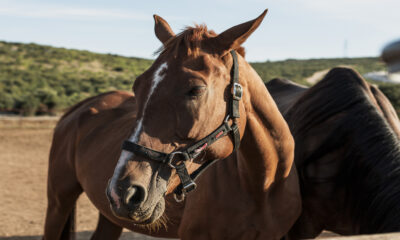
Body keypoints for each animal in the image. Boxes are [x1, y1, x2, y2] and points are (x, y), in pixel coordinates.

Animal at [43, 9, 300, 240]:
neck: (263, 185)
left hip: (109, 215)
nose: (124, 192)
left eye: (196, 89)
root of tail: (80, 107)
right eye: (138, 85)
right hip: (59, 201)